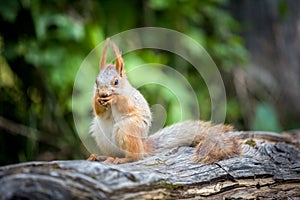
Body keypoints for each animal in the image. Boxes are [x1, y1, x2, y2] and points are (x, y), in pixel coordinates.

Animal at [87, 39, 241, 164]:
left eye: (116, 82)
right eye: (96, 81)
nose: (102, 93)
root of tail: (142, 146)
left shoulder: (132, 99)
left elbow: (126, 105)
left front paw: (114, 98)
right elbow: (99, 112)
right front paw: (97, 100)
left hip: (128, 130)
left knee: (136, 157)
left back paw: (124, 159)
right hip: (100, 133)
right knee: (115, 153)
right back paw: (101, 157)